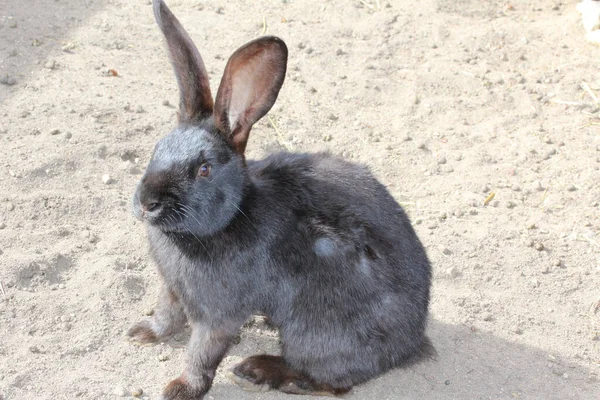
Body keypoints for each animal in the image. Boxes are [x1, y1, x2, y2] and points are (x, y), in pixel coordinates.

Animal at [127, 1, 432, 398]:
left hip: (315, 332)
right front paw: (142, 333)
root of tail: (411, 343)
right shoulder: (172, 289)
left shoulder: (219, 315)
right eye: (157, 149)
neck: (231, 216)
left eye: (204, 169)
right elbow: (166, 315)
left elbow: (202, 352)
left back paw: (257, 370)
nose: (147, 202)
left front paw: (180, 389)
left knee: (330, 381)